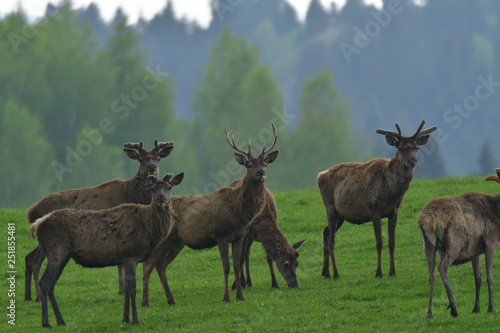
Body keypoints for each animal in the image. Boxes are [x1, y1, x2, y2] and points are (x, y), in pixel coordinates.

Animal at [24, 139, 174, 300]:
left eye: (158, 158)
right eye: (141, 159)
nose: (152, 167)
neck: (133, 195)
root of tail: (31, 212)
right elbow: (120, 263)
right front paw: (121, 289)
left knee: (29, 257)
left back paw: (28, 296)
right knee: (35, 260)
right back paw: (37, 295)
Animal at [28, 174, 184, 326]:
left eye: (169, 187)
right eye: (152, 188)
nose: (161, 198)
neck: (150, 233)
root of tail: (37, 224)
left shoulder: (125, 257)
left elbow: (127, 289)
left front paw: (125, 319)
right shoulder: (131, 254)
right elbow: (132, 288)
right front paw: (136, 320)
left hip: (65, 256)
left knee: (52, 286)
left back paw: (61, 321)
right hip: (56, 251)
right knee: (44, 282)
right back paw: (46, 322)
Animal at [141, 123, 280, 304]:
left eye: (265, 164)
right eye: (249, 165)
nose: (260, 172)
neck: (239, 211)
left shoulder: (238, 236)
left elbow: (237, 266)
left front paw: (240, 296)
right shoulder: (220, 234)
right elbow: (226, 267)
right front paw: (226, 297)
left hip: (176, 241)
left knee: (160, 266)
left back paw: (171, 299)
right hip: (164, 239)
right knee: (147, 264)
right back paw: (145, 302)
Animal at [318, 119, 436, 278]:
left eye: (417, 147)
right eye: (400, 147)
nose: (413, 160)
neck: (392, 193)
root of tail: (320, 175)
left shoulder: (394, 212)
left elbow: (392, 242)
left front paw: (392, 272)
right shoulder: (374, 209)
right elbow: (379, 242)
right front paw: (379, 272)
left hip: (340, 215)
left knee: (325, 232)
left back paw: (326, 272)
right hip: (330, 207)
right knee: (331, 242)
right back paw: (336, 274)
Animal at [418, 167, 500, 318]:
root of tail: (429, 219)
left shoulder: (475, 250)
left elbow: (478, 278)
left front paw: (476, 308)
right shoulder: (490, 241)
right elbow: (489, 277)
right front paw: (491, 308)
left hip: (427, 244)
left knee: (431, 274)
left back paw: (429, 313)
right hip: (455, 241)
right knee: (442, 267)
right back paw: (453, 308)